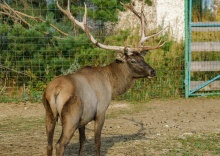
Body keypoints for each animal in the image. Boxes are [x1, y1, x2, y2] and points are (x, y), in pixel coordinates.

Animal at [42, 0, 165, 155]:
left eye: (142, 58)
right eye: (132, 60)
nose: (152, 71)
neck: (111, 85)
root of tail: (55, 90)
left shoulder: (83, 119)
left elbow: (83, 141)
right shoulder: (100, 111)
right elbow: (97, 141)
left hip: (49, 114)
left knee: (49, 144)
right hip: (71, 117)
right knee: (59, 144)